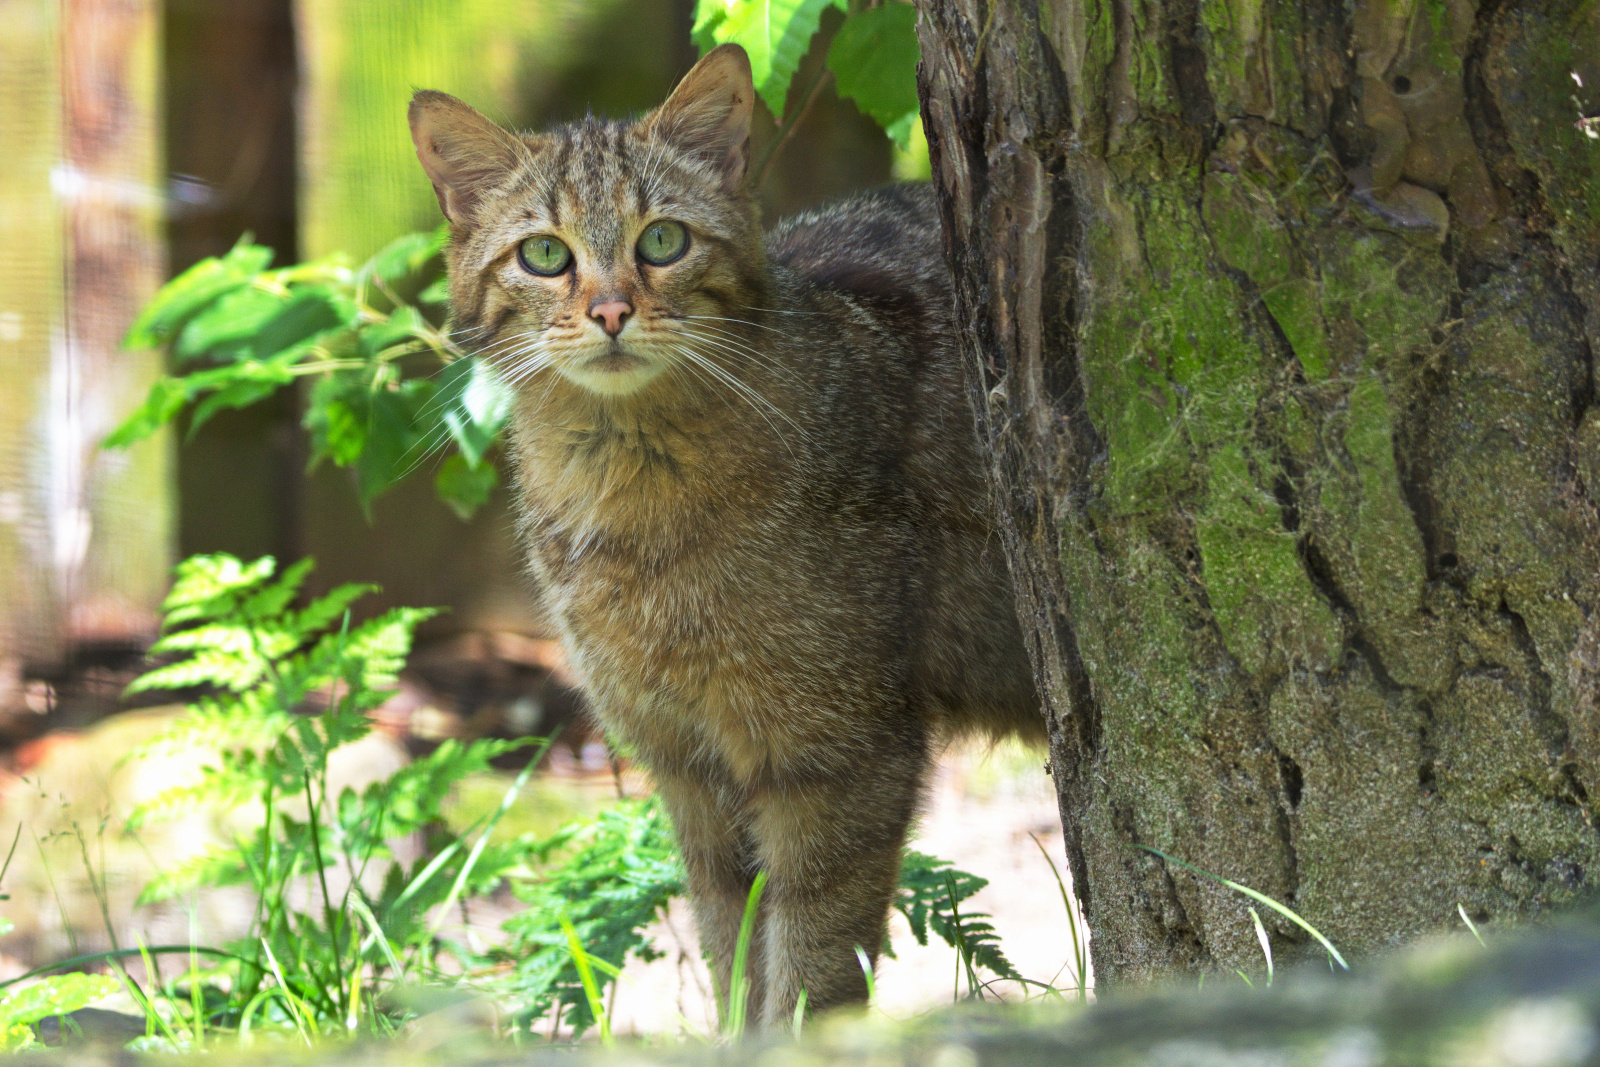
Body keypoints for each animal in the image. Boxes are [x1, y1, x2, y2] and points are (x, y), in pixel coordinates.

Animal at [406, 43, 1043, 1023]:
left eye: (662, 241)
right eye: (545, 255)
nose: (611, 310)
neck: (631, 511)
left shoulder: (838, 758)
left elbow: (810, 967)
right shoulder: (685, 766)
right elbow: (731, 950)